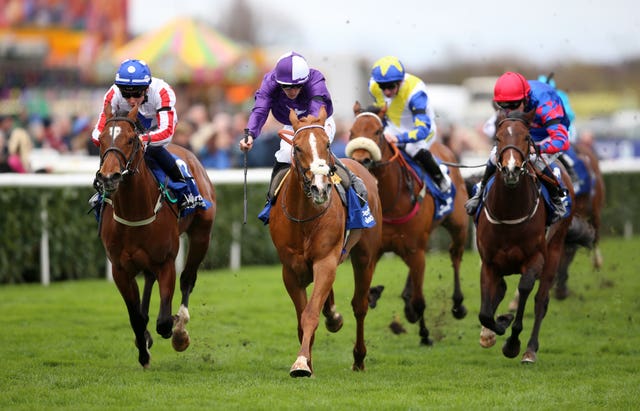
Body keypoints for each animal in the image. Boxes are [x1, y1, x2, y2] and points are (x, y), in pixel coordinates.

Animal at [94, 104, 216, 368]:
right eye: (102, 139)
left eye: (131, 139)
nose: (109, 177)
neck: (134, 211)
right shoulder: (120, 269)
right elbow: (136, 318)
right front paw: (143, 350)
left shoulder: (166, 262)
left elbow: (164, 321)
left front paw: (175, 332)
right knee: (149, 280)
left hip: (201, 235)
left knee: (188, 279)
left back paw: (180, 327)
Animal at [268, 107, 382, 380]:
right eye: (297, 147)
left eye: (327, 144)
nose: (320, 188)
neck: (304, 217)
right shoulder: (291, 270)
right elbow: (302, 316)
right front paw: (307, 361)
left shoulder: (325, 260)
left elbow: (310, 313)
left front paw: (301, 362)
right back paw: (333, 316)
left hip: (365, 255)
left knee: (360, 305)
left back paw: (358, 358)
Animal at [344, 101, 470, 346]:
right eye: (352, 132)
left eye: (378, 131)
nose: (361, 160)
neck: (391, 199)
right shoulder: (378, 249)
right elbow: (369, 291)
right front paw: (377, 294)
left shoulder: (415, 249)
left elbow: (420, 300)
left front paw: (425, 334)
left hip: (459, 226)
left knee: (455, 255)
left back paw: (458, 304)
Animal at [476, 109, 576, 364]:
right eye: (498, 137)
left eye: (526, 137)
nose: (511, 170)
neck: (509, 213)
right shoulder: (489, 262)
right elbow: (485, 313)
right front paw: (496, 325)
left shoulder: (535, 258)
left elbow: (524, 289)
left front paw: (512, 342)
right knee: (500, 289)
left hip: (554, 250)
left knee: (541, 301)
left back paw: (530, 349)